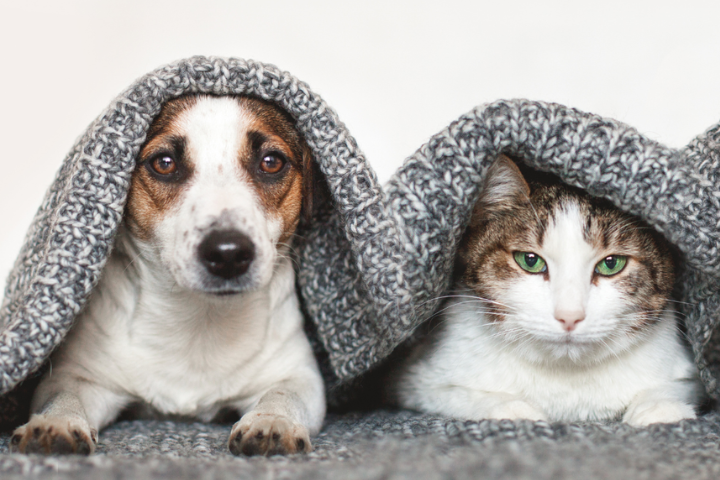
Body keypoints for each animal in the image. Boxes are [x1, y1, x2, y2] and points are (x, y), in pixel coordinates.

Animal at [10, 94, 326, 458]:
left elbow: (283, 394)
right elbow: (63, 397)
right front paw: (55, 423)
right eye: (164, 163)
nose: (228, 253)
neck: (200, 322)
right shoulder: (79, 377)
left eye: (271, 162)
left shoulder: (298, 375)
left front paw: (273, 421)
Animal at [390, 156, 700, 426]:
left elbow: (678, 386)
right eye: (530, 260)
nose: (569, 316)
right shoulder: (417, 379)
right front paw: (511, 408)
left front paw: (660, 406)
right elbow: (456, 395)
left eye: (611, 264)